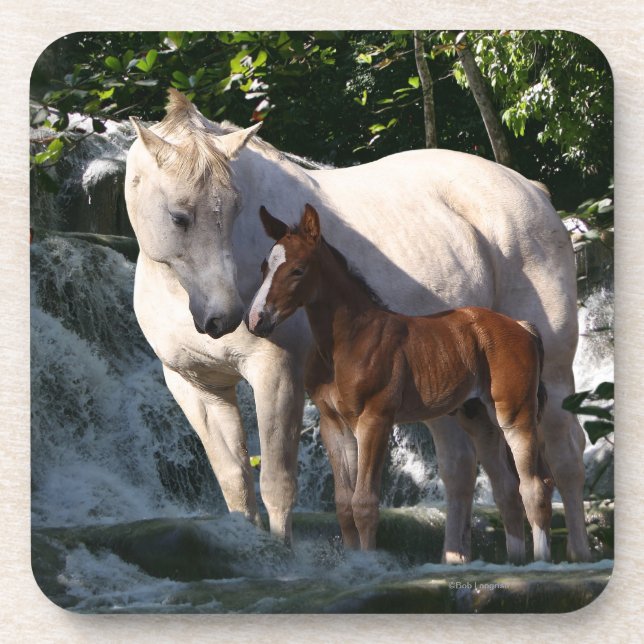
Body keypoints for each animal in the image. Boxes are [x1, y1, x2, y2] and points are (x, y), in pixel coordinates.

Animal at [247, 203, 554, 561]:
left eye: (297, 270)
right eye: (264, 266)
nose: (256, 320)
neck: (348, 341)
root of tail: (522, 327)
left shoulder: (375, 420)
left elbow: (364, 503)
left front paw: (369, 562)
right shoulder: (333, 425)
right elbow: (344, 506)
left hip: (515, 414)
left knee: (533, 486)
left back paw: (541, 561)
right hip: (479, 418)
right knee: (507, 490)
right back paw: (514, 562)